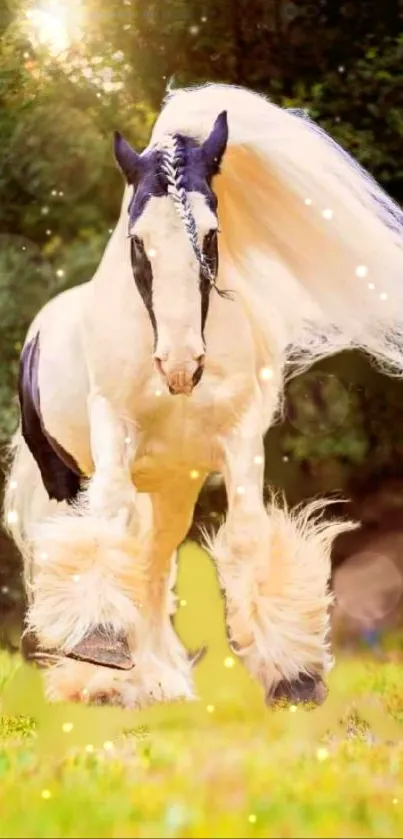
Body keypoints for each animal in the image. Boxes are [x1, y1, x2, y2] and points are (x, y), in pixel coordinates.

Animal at [3, 80, 403, 708]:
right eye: (137, 241)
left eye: (211, 234)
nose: (180, 365)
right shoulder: (111, 428)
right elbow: (105, 521)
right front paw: (99, 647)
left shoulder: (238, 440)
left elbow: (246, 537)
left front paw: (293, 674)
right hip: (61, 475)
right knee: (79, 541)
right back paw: (103, 681)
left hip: (173, 488)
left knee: (151, 565)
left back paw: (154, 680)